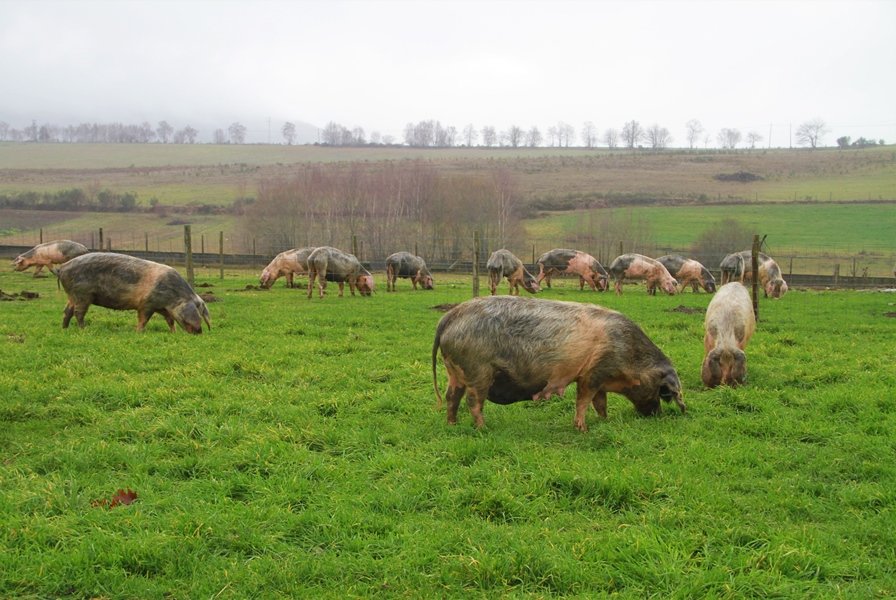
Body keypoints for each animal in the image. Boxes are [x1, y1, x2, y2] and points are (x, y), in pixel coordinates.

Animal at [55, 252, 210, 336]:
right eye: (196, 309)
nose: (199, 331)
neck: (172, 297)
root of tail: (62, 268)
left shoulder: (164, 309)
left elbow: (170, 320)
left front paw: (174, 332)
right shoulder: (147, 304)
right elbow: (143, 319)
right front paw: (139, 332)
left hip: (72, 296)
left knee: (67, 311)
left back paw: (64, 329)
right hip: (82, 294)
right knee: (78, 312)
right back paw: (83, 329)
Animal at [430, 296, 684, 432]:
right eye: (660, 391)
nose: (656, 415)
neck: (630, 356)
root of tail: (449, 317)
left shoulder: (598, 376)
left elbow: (600, 403)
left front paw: (605, 421)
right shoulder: (593, 373)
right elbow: (583, 400)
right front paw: (583, 429)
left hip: (455, 371)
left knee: (452, 397)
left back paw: (452, 425)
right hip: (478, 370)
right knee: (473, 401)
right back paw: (484, 428)